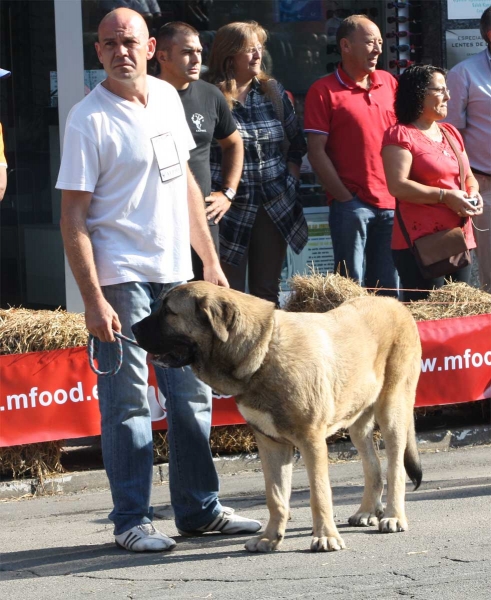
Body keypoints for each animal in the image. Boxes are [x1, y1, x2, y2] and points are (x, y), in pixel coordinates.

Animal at [133, 282, 424, 552]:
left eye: (168, 311)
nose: (133, 328)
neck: (263, 351)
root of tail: (395, 303)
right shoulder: (271, 443)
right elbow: (276, 496)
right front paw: (269, 538)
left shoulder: (311, 440)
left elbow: (319, 494)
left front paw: (325, 536)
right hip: (357, 420)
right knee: (372, 465)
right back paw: (366, 511)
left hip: (392, 410)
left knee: (395, 468)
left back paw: (393, 517)